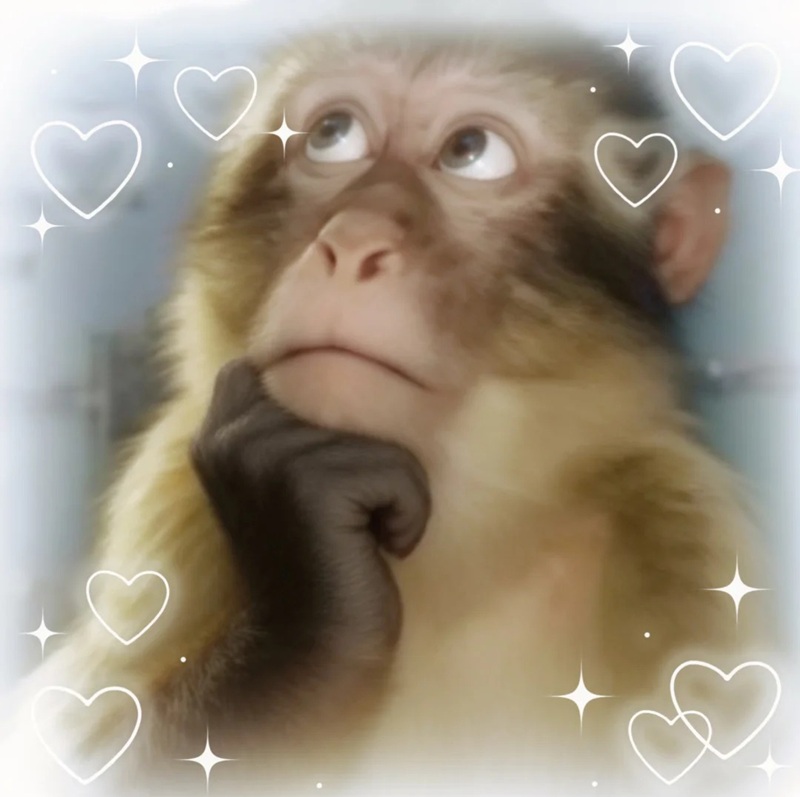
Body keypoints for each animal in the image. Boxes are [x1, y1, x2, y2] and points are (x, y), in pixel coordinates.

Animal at [4, 24, 781, 797]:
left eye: (471, 151)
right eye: (333, 135)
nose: (352, 242)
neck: (453, 552)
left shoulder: (684, 539)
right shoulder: (167, 510)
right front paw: (311, 597)